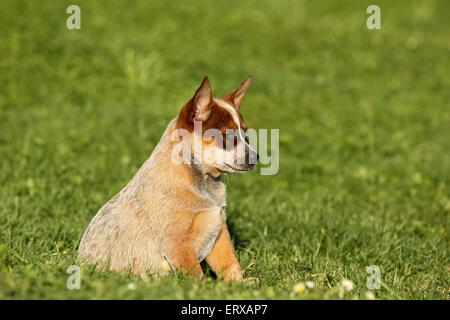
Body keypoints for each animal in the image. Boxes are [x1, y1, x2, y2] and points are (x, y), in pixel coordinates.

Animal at [78, 75, 256, 280]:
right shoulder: (177, 242)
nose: (256, 157)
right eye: (227, 136)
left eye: (246, 135)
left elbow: (230, 264)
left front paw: (241, 283)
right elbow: (196, 274)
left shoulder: (219, 231)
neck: (203, 184)